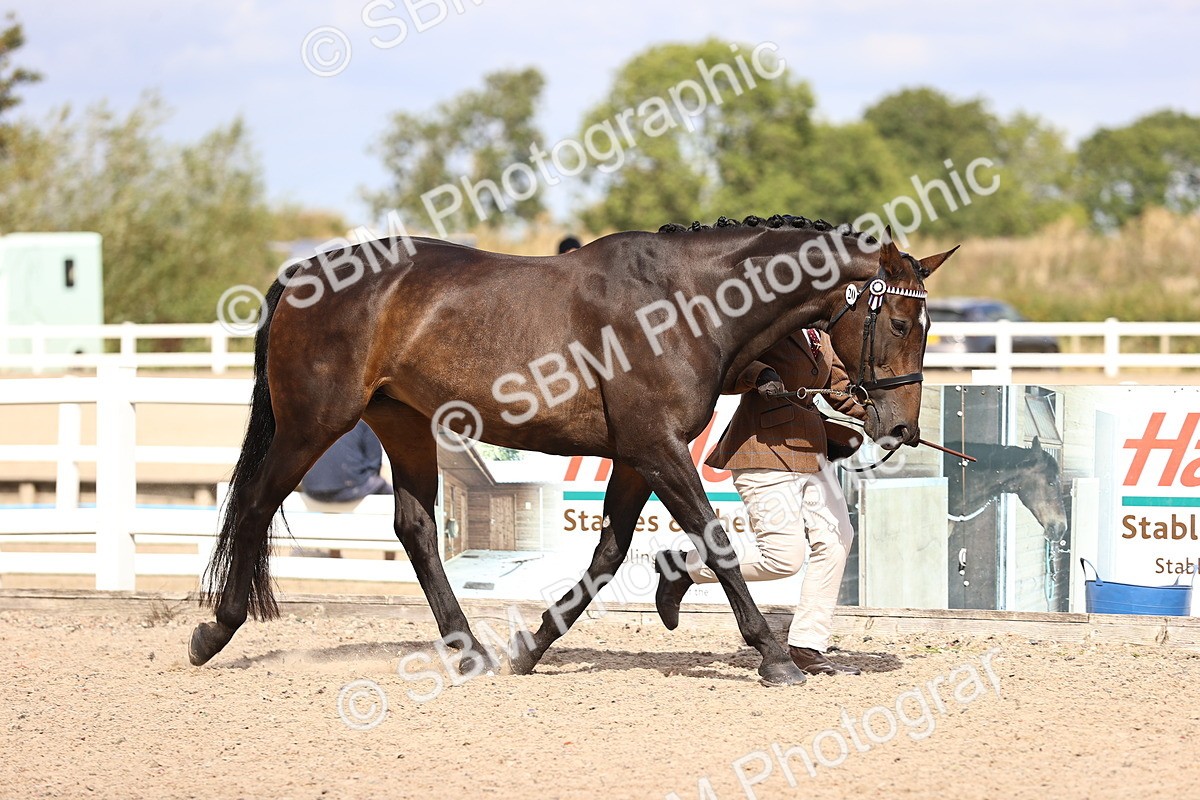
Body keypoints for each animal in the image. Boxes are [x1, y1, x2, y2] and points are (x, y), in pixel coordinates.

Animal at [189, 213, 956, 687]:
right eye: (897, 320)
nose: (899, 429)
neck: (688, 302)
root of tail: (301, 275)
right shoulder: (658, 447)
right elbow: (713, 540)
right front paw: (775, 656)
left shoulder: (638, 455)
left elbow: (609, 553)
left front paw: (531, 649)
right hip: (312, 424)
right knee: (253, 505)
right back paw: (214, 633)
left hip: (403, 425)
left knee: (415, 530)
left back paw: (470, 652)